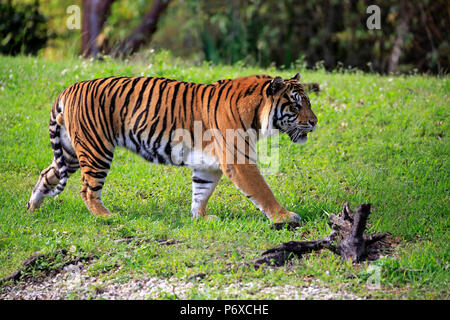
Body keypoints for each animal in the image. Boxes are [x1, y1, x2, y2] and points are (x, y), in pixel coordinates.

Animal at [26, 72, 318, 222]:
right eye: (295, 105)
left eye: (308, 102)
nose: (315, 122)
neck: (258, 115)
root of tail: (69, 88)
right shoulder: (239, 161)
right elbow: (262, 191)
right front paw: (284, 217)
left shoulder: (208, 164)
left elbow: (201, 191)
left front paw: (200, 217)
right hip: (96, 150)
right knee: (87, 189)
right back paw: (106, 217)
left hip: (72, 152)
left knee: (47, 174)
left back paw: (32, 207)